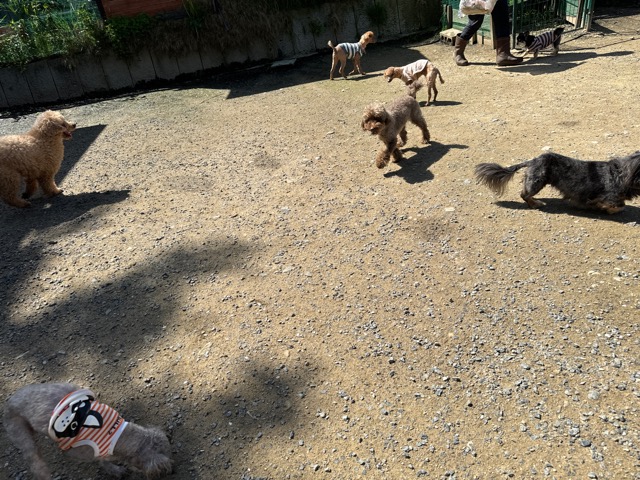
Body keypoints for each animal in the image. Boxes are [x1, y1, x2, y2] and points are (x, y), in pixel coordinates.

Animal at [4, 383, 173, 479]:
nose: (173, 470)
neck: (114, 433)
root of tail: (10, 401)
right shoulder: (81, 451)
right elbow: (100, 460)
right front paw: (114, 470)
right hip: (21, 434)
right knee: (36, 463)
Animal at [474, 151, 640, 214]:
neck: (620, 173)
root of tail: (533, 160)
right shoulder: (610, 197)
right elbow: (619, 206)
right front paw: (606, 209)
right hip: (538, 181)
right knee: (524, 195)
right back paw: (536, 204)